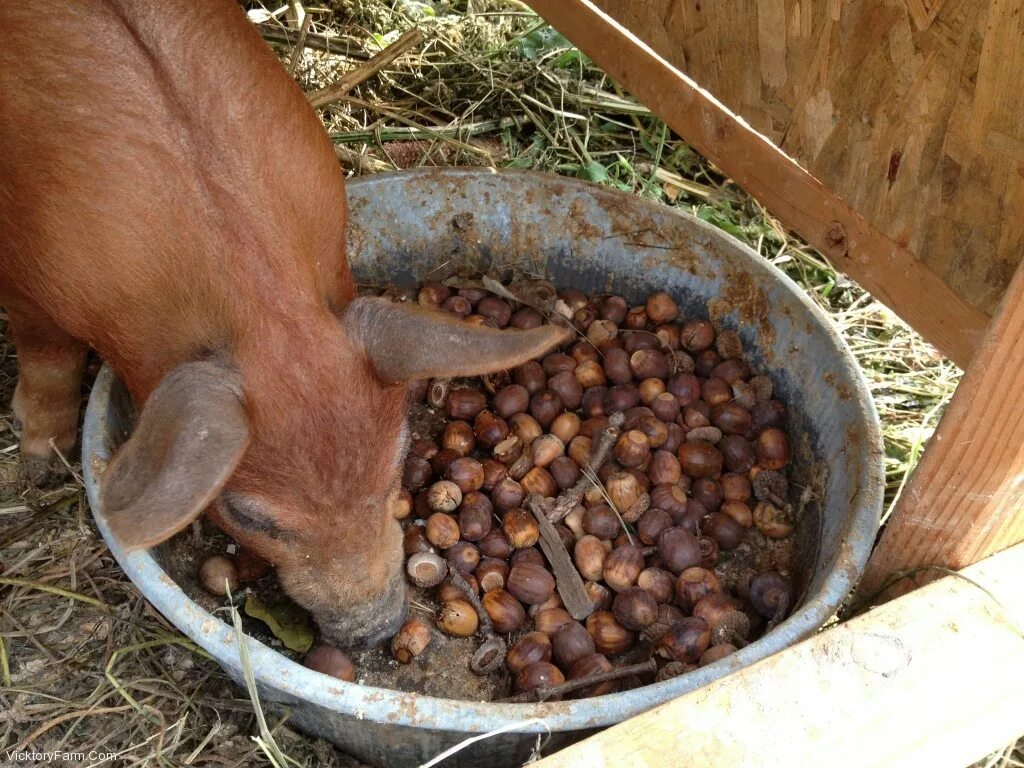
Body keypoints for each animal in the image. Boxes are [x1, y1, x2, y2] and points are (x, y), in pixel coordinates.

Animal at [0, 0, 569, 651]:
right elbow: (46, 352)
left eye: (397, 465)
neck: (260, 300)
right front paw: (40, 462)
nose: (378, 630)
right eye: (247, 515)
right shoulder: (24, 274)